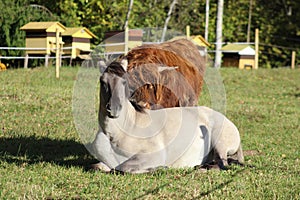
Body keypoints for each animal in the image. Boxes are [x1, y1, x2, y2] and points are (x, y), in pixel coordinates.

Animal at [91, 59, 244, 173]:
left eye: (124, 82)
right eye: (102, 82)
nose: (114, 109)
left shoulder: (153, 155)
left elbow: (121, 168)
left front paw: (158, 168)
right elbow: (98, 167)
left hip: (220, 143)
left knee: (222, 164)